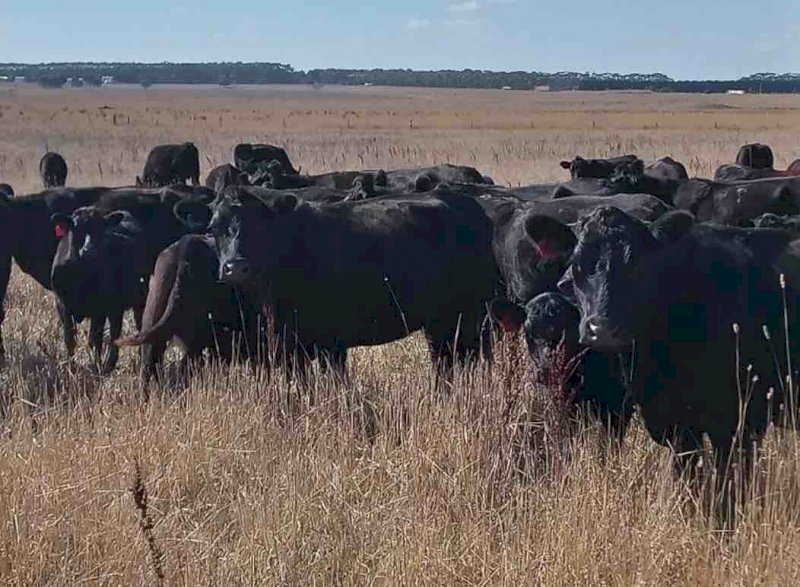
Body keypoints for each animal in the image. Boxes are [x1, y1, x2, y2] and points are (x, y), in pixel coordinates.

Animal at [50, 208, 149, 373]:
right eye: (76, 228)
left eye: (102, 230)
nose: (89, 250)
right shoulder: (62, 305)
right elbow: (69, 338)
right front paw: (72, 368)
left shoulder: (99, 309)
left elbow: (94, 340)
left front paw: (95, 367)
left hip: (139, 301)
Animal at [176, 188, 499, 378]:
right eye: (213, 227)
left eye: (260, 226)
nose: (235, 267)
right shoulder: (291, 343)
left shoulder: (333, 342)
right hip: (441, 320)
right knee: (445, 362)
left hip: (466, 315)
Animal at [532, 207, 800, 527]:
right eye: (576, 265)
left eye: (638, 266)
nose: (603, 329)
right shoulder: (679, 427)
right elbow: (690, 487)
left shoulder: (738, 424)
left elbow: (728, 496)